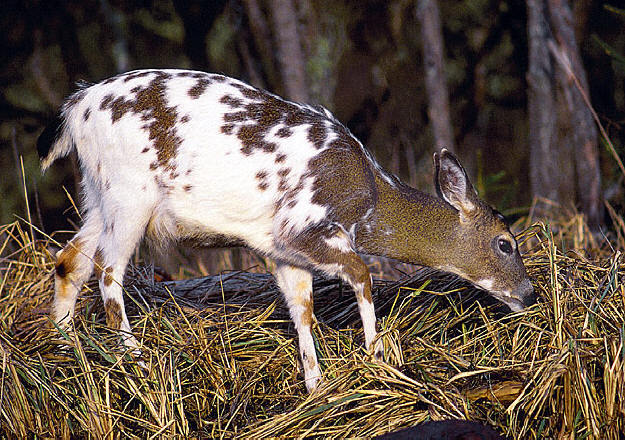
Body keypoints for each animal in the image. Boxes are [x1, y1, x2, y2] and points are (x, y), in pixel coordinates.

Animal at [39, 69, 532, 392]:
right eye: (505, 243)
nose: (529, 294)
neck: (370, 199)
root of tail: (76, 108)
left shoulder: (281, 252)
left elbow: (302, 311)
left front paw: (315, 384)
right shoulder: (300, 226)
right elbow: (362, 274)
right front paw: (377, 356)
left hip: (97, 195)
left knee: (69, 261)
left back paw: (67, 347)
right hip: (130, 192)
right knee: (108, 271)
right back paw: (135, 359)